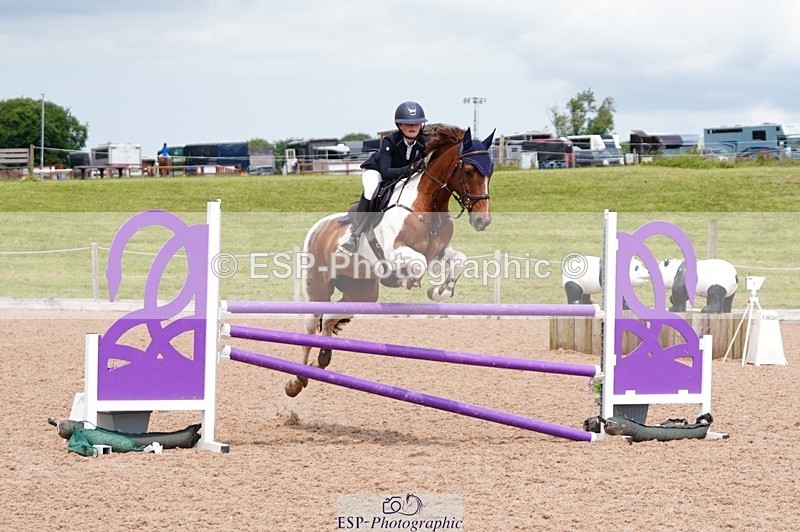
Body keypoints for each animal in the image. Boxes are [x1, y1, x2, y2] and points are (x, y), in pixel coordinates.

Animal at [285, 125, 495, 397]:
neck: (427, 204)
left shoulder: (438, 253)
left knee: (330, 319)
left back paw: (322, 359)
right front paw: (409, 281)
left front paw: (441, 291)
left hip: (362, 293)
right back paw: (296, 381)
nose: (482, 221)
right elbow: (418, 263)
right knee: (310, 328)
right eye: (468, 170)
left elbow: (459, 260)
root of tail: (318, 227)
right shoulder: (396, 253)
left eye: (490, 170)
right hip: (317, 287)